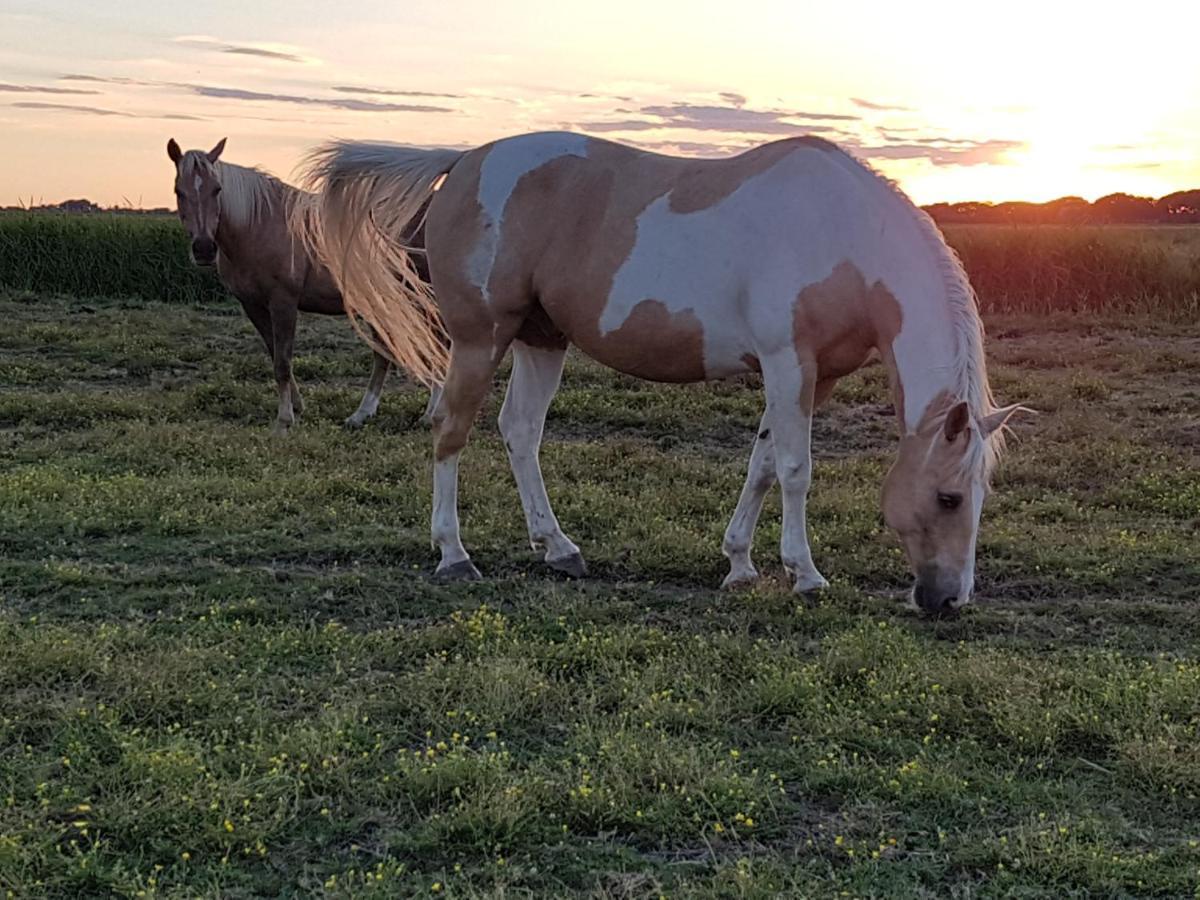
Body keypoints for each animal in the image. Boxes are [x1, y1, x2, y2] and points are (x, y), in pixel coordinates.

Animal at [164, 140, 436, 434]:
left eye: (217, 189)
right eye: (178, 191)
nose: (203, 249)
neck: (260, 224)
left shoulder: (283, 302)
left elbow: (283, 362)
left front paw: (284, 419)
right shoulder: (253, 305)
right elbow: (276, 355)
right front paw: (296, 407)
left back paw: (429, 414)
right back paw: (365, 414)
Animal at [295, 130, 1027, 619]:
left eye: (976, 497)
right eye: (949, 498)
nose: (948, 600)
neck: (845, 236)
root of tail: (466, 160)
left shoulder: (811, 377)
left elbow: (763, 464)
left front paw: (739, 564)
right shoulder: (788, 363)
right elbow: (795, 470)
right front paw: (805, 573)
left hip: (541, 339)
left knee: (520, 431)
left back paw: (558, 547)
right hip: (480, 339)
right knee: (451, 430)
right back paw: (453, 554)